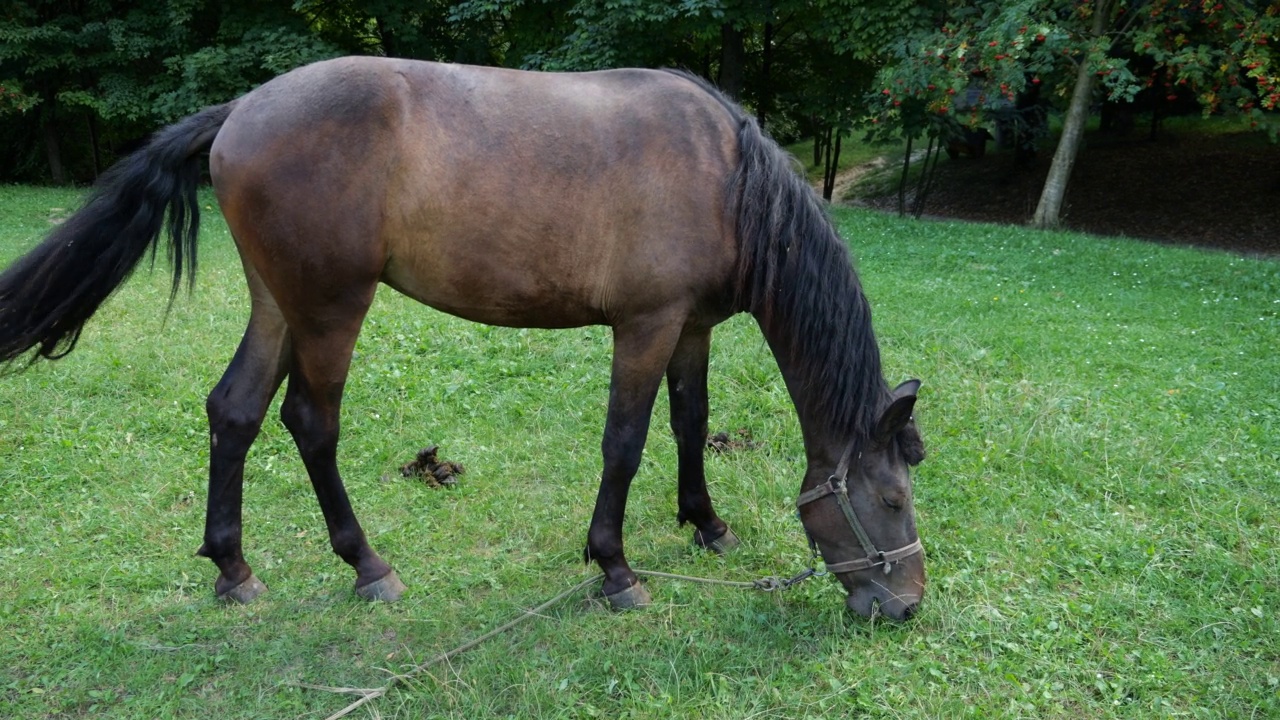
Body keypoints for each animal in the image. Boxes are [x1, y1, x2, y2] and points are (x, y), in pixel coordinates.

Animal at [0, 56, 926, 617]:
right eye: (891, 501)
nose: (907, 602)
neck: (725, 177)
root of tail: (242, 110)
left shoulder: (689, 326)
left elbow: (689, 424)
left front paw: (706, 523)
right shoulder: (645, 325)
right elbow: (624, 444)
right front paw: (615, 567)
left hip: (278, 304)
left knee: (234, 411)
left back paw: (233, 568)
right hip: (331, 310)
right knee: (310, 423)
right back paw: (367, 566)